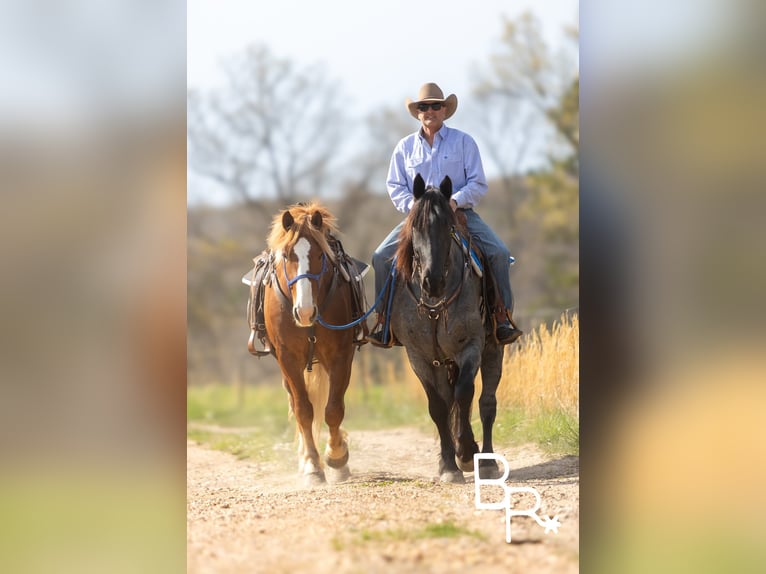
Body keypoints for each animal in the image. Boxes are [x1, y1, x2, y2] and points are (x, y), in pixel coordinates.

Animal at [262, 202, 357, 486]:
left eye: (320, 255)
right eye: (286, 256)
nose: (304, 312)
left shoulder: (340, 356)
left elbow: (334, 409)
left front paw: (337, 457)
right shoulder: (288, 359)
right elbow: (303, 410)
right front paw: (313, 466)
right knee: (297, 404)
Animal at [390, 174, 504, 483]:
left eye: (448, 227)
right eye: (415, 227)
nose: (432, 281)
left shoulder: (472, 346)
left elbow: (464, 394)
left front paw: (466, 453)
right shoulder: (418, 357)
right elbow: (438, 406)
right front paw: (449, 467)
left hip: (493, 350)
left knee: (486, 403)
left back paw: (486, 461)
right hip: (441, 363)